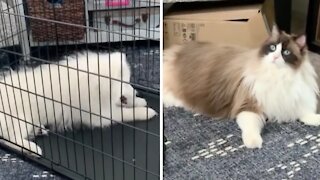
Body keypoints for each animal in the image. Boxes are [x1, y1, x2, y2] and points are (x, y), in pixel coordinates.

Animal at [0, 51, 156, 156]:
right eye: (126, 82)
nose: (137, 93)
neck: (95, 85)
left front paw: (140, 101)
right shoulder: (99, 115)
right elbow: (125, 113)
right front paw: (147, 111)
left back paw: (38, 130)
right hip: (21, 118)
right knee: (9, 139)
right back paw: (31, 149)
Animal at [165, 25, 320, 149]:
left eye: (286, 52)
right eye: (273, 48)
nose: (275, 57)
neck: (279, 76)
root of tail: (176, 50)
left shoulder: (295, 102)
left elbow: (307, 114)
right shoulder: (249, 105)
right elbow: (251, 128)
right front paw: (254, 143)